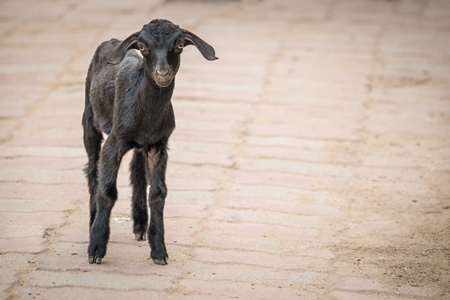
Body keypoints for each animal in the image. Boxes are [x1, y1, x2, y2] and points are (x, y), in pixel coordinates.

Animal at [83, 18, 219, 264]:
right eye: (143, 47)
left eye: (179, 45)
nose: (162, 73)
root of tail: (112, 41)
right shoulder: (113, 144)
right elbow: (107, 191)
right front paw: (96, 248)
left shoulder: (158, 146)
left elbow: (157, 194)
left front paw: (159, 250)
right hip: (89, 120)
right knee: (92, 170)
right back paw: (92, 221)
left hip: (142, 144)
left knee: (137, 171)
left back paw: (140, 225)